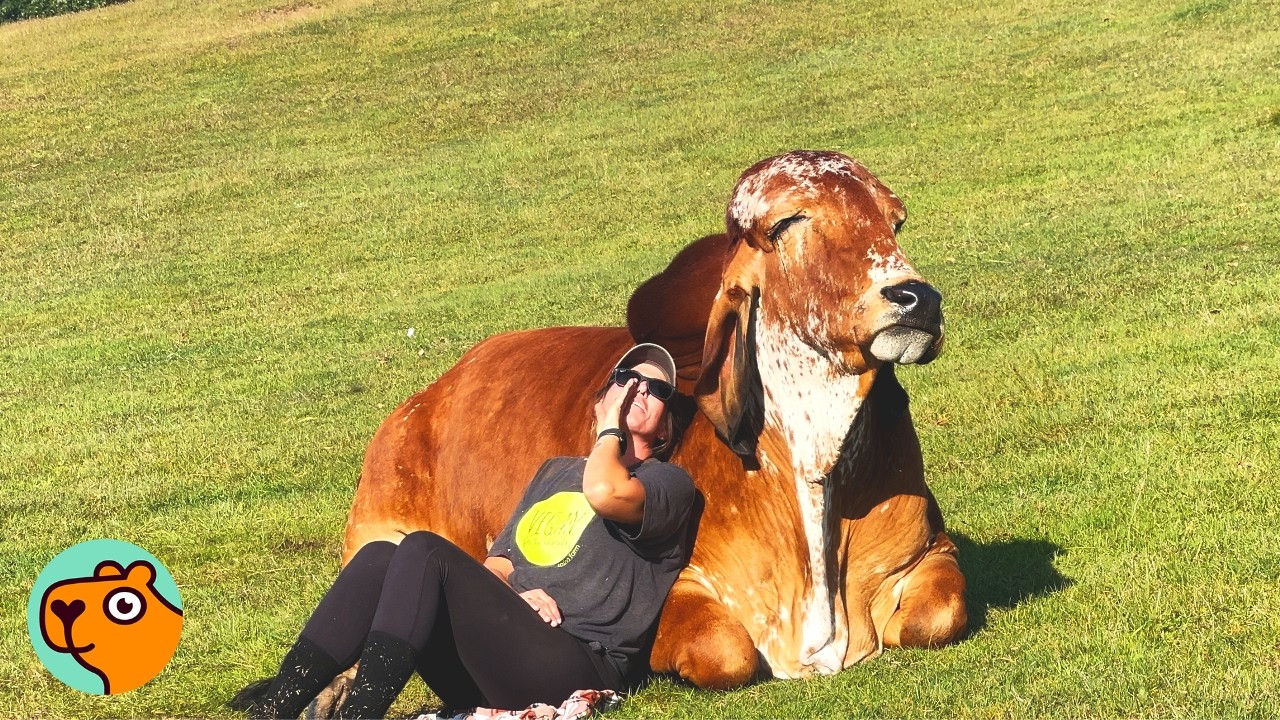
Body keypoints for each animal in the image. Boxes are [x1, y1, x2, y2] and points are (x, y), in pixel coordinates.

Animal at [334, 150, 966, 701]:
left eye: (895, 220)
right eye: (788, 221)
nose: (916, 297)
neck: (810, 470)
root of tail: (424, 399)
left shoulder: (930, 549)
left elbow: (940, 613)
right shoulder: (684, 590)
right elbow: (723, 649)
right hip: (377, 529)